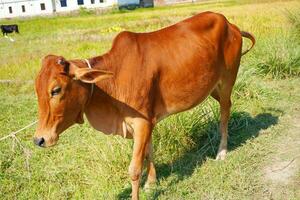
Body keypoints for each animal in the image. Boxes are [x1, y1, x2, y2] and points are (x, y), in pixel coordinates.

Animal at [34, 11, 254, 199]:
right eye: (37, 89)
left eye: (56, 90)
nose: (39, 139)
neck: (111, 81)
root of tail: (231, 25)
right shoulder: (147, 120)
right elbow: (149, 151)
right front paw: (151, 183)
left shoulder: (141, 122)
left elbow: (134, 168)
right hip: (213, 87)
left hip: (227, 82)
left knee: (225, 113)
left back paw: (222, 151)